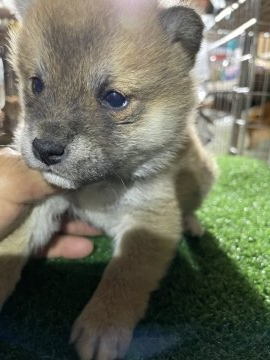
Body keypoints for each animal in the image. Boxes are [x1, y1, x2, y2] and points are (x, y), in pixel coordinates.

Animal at [0, 1, 217, 358]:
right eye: (37, 84)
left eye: (114, 98)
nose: (45, 149)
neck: (100, 187)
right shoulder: (44, 204)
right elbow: (14, 245)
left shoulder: (150, 221)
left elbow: (124, 276)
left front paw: (104, 324)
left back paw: (193, 223)